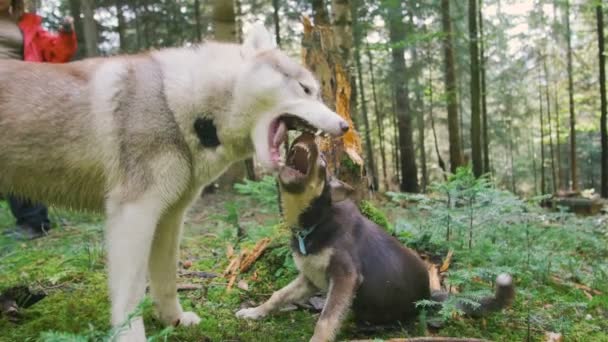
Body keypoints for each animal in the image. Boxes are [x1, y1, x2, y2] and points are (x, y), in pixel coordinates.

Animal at [0, 23, 346, 340]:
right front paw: (130, 336)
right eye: (305, 89)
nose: (345, 126)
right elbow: (131, 293)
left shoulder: (169, 216)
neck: (180, 107)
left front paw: (174, 321)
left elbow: (165, 281)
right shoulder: (133, 214)